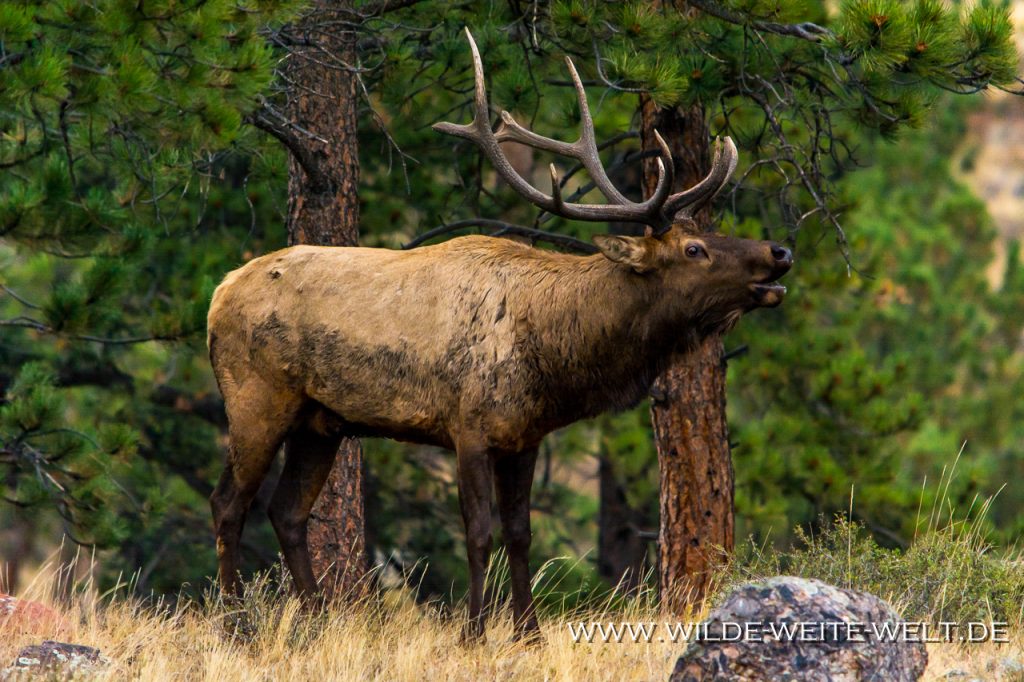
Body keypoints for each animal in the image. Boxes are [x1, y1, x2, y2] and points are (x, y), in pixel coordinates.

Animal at [206, 30, 792, 641]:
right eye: (693, 249)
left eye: (705, 232)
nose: (779, 252)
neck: (555, 354)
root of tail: (218, 293)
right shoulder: (467, 426)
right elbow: (479, 532)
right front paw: (474, 631)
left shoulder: (524, 435)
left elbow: (519, 532)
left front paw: (528, 631)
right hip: (256, 398)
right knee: (228, 504)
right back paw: (234, 622)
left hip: (320, 422)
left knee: (287, 511)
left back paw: (318, 619)